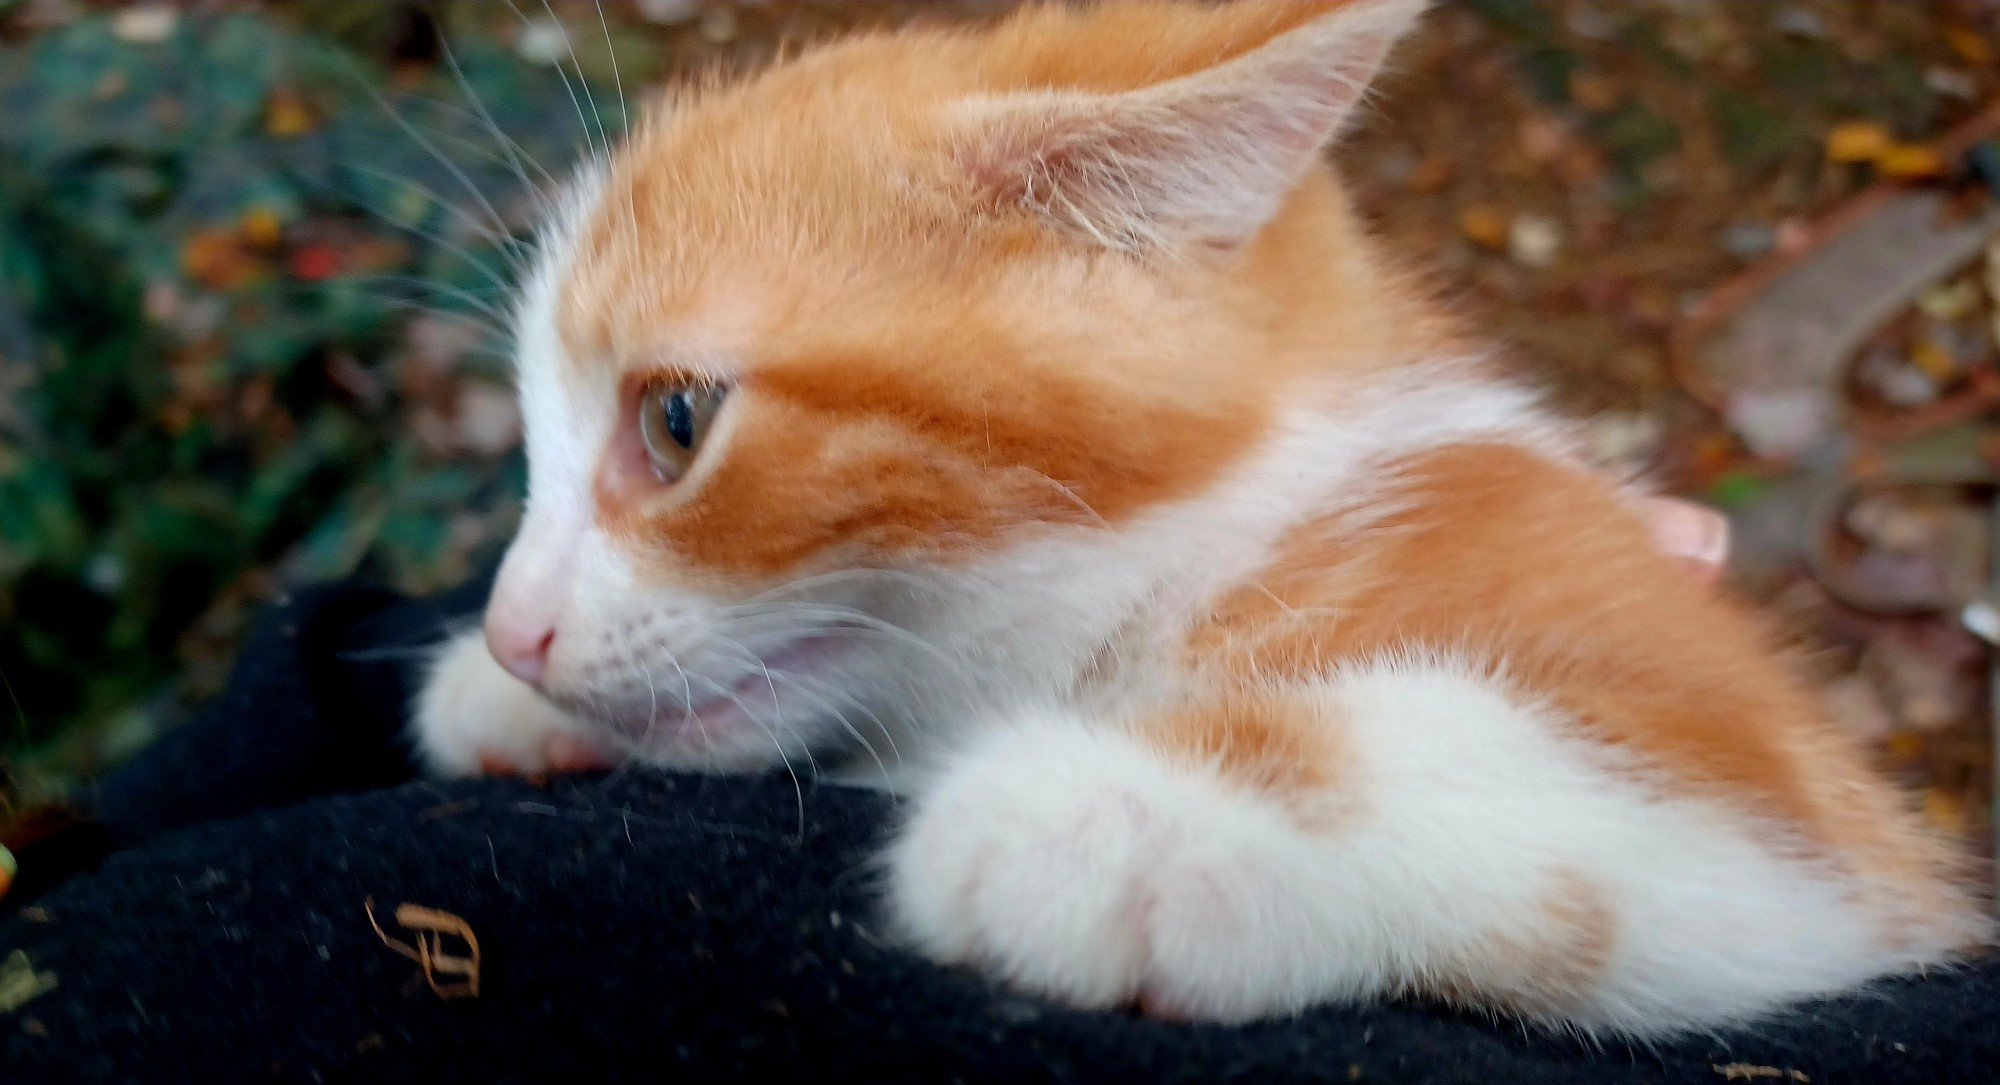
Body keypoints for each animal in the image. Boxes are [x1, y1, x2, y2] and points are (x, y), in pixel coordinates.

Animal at [410, 0, 1984, 1040]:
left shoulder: (1809, 809)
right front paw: (504, 698)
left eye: (674, 420)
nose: (513, 625)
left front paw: (1123, 814)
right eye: (536, 431)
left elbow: (1605, 769)